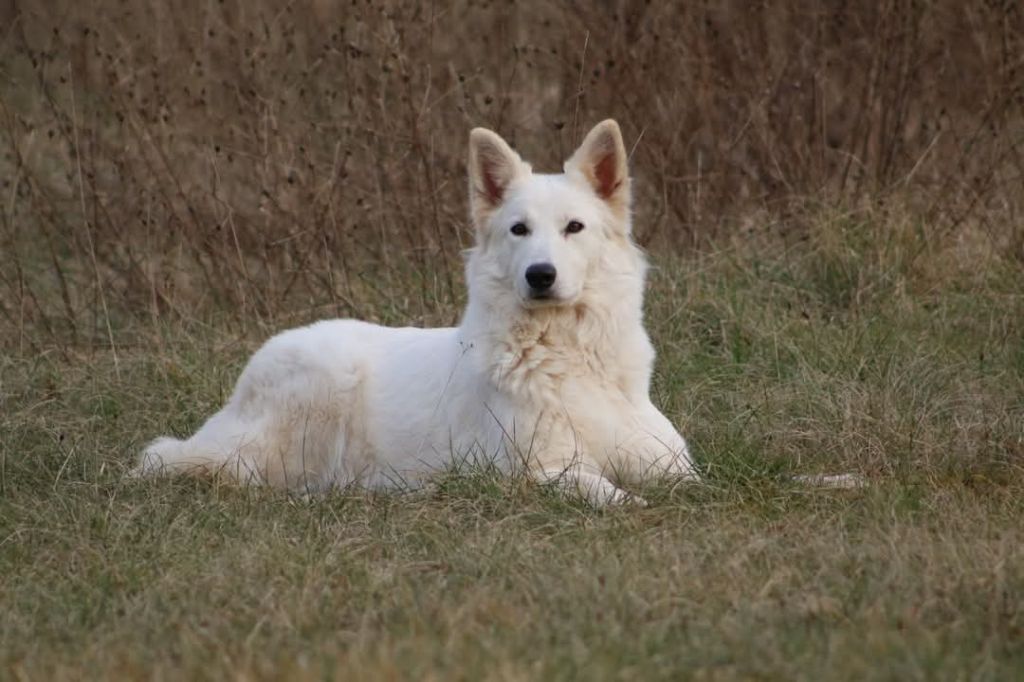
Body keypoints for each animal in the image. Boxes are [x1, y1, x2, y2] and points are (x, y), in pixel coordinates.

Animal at [138, 120, 696, 503]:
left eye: (573, 228)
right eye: (519, 230)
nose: (540, 275)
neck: (567, 356)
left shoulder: (670, 460)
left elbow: (689, 479)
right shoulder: (534, 468)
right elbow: (605, 491)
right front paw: (633, 503)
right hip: (320, 391)